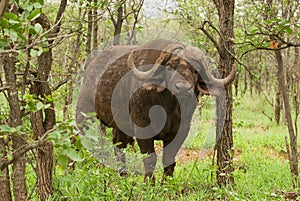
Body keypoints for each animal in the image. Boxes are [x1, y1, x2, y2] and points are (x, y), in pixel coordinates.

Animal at [75, 38, 237, 181]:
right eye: (170, 67)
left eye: (195, 70)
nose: (183, 88)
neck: (168, 108)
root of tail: (90, 65)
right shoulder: (142, 130)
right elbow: (150, 159)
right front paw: (149, 183)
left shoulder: (181, 132)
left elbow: (169, 160)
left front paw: (166, 183)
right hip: (83, 114)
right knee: (77, 138)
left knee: (118, 145)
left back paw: (123, 175)